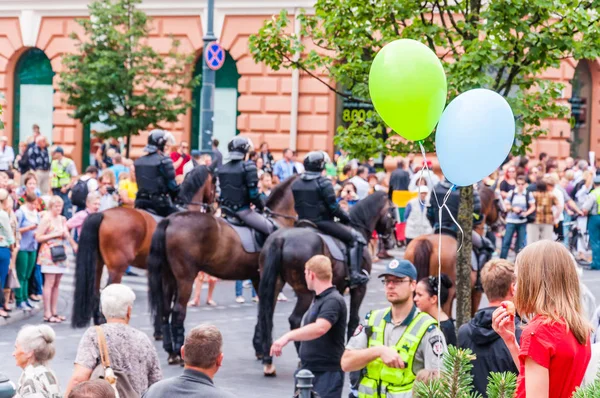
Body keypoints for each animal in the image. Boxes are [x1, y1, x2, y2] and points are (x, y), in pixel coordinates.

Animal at [72, 165, 216, 330]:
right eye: (214, 181)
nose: (213, 206)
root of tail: (103, 215)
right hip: (117, 268)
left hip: (97, 264)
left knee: (96, 293)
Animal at [148, 174, 298, 364]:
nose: (213, 205)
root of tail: (170, 219)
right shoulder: (272, 280)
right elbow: (267, 309)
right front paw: (264, 349)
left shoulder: (258, 279)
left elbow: (261, 310)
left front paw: (259, 347)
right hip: (185, 279)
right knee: (178, 311)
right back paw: (180, 352)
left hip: (168, 277)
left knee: (165, 308)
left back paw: (171, 351)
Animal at [255, 193, 396, 376]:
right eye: (393, 212)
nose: (391, 243)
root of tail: (280, 238)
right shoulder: (359, 288)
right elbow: (353, 319)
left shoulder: (338, 287)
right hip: (305, 293)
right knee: (295, 319)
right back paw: (300, 358)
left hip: (274, 286)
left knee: (267, 317)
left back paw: (268, 360)